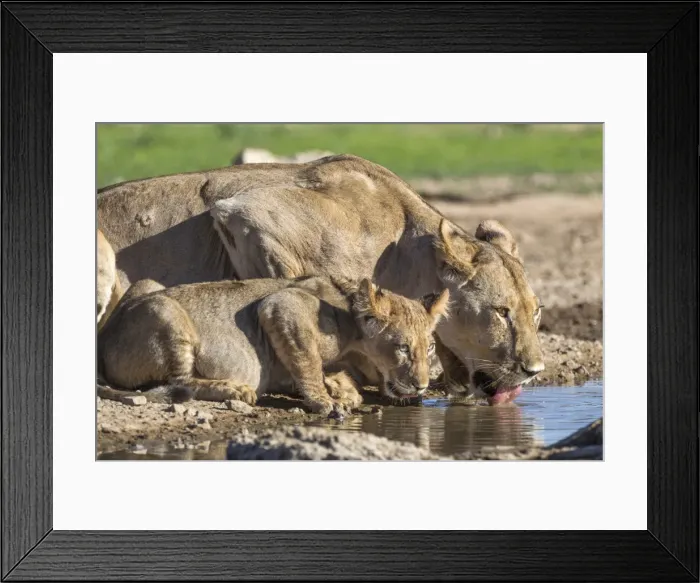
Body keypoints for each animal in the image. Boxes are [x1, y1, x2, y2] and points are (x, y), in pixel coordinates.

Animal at [98, 275, 450, 414]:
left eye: (430, 348)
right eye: (402, 347)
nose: (423, 385)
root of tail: (102, 340)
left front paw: (343, 391)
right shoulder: (281, 305)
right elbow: (308, 361)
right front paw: (326, 400)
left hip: (148, 284)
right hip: (167, 312)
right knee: (181, 381)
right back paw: (234, 389)